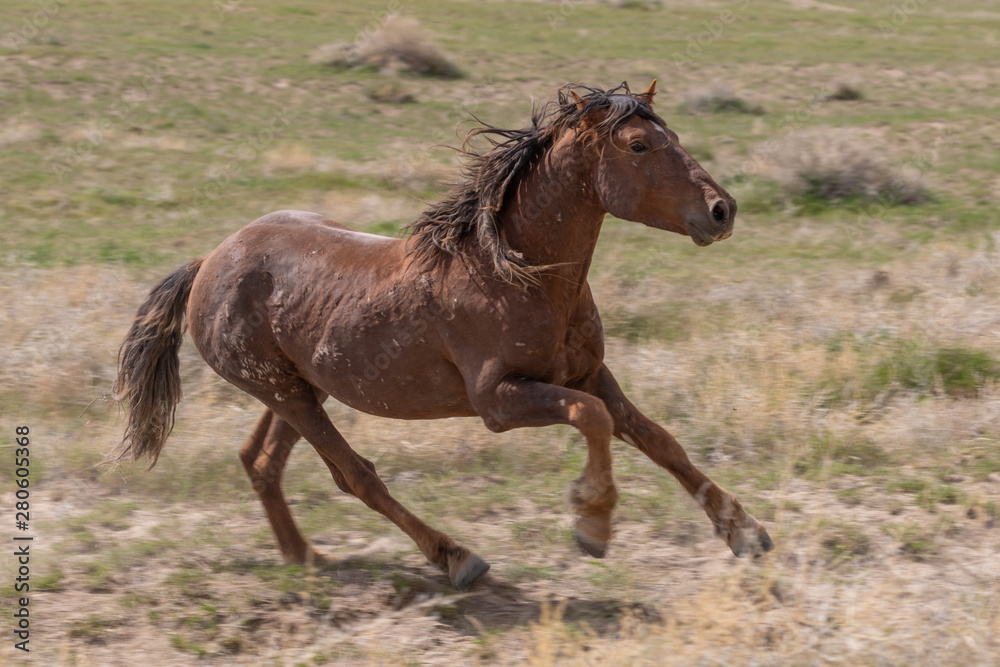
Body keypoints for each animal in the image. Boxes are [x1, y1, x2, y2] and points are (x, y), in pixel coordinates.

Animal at [109, 81, 773, 590]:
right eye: (638, 145)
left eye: (676, 139)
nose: (722, 211)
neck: (514, 273)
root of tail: (209, 262)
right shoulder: (500, 401)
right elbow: (594, 420)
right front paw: (593, 526)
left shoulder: (588, 374)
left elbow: (661, 440)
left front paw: (745, 533)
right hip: (286, 394)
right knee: (354, 476)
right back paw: (456, 558)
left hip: (304, 390)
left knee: (262, 462)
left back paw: (305, 558)